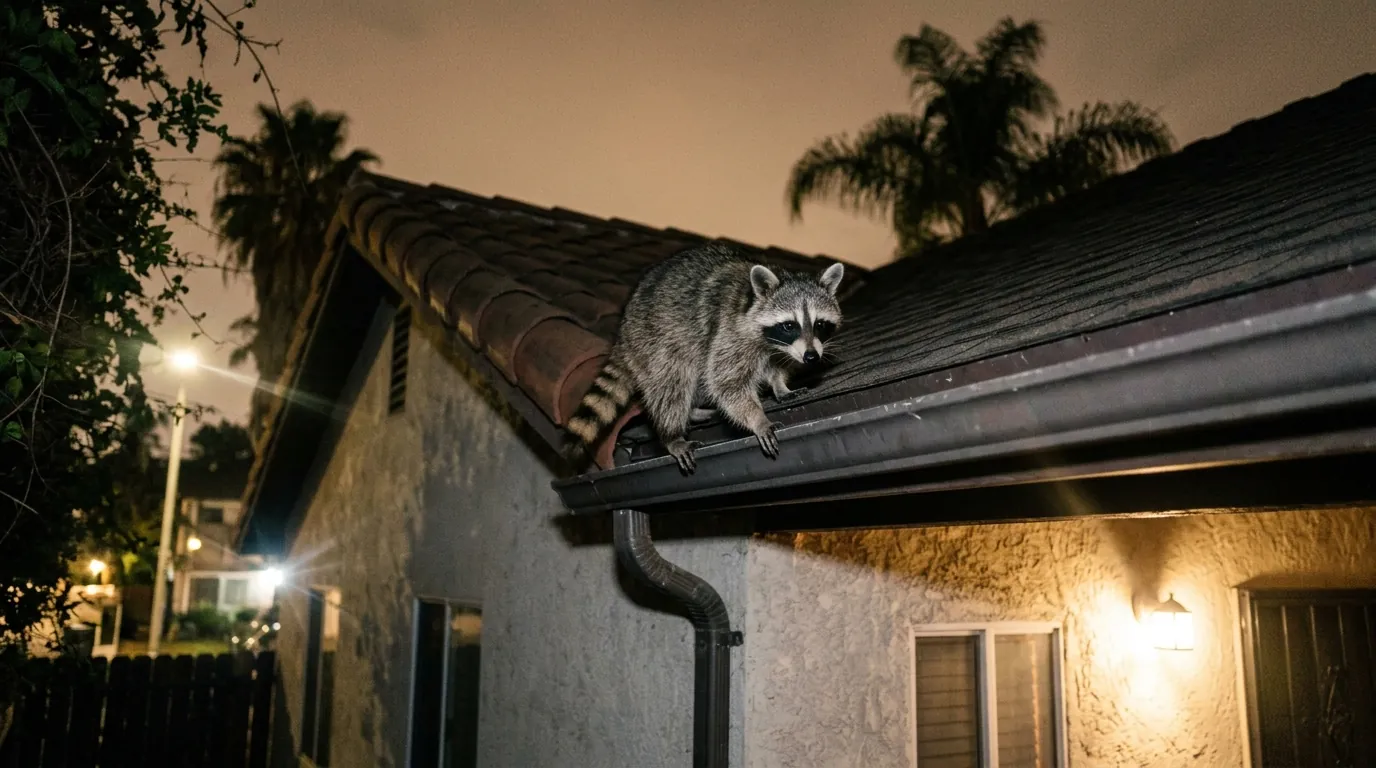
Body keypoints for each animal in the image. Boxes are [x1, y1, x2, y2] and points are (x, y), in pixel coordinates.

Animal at [564, 242, 845, 474]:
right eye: (789, 325)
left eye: (820, 324)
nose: (812, 357)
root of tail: (623, 334)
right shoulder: (730, 329)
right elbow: (726, 382)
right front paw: (758, 419)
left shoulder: (778, 348)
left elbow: (776, 365)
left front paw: (780, 385)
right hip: (656, 340)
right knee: (672, 381)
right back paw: (672, 433)